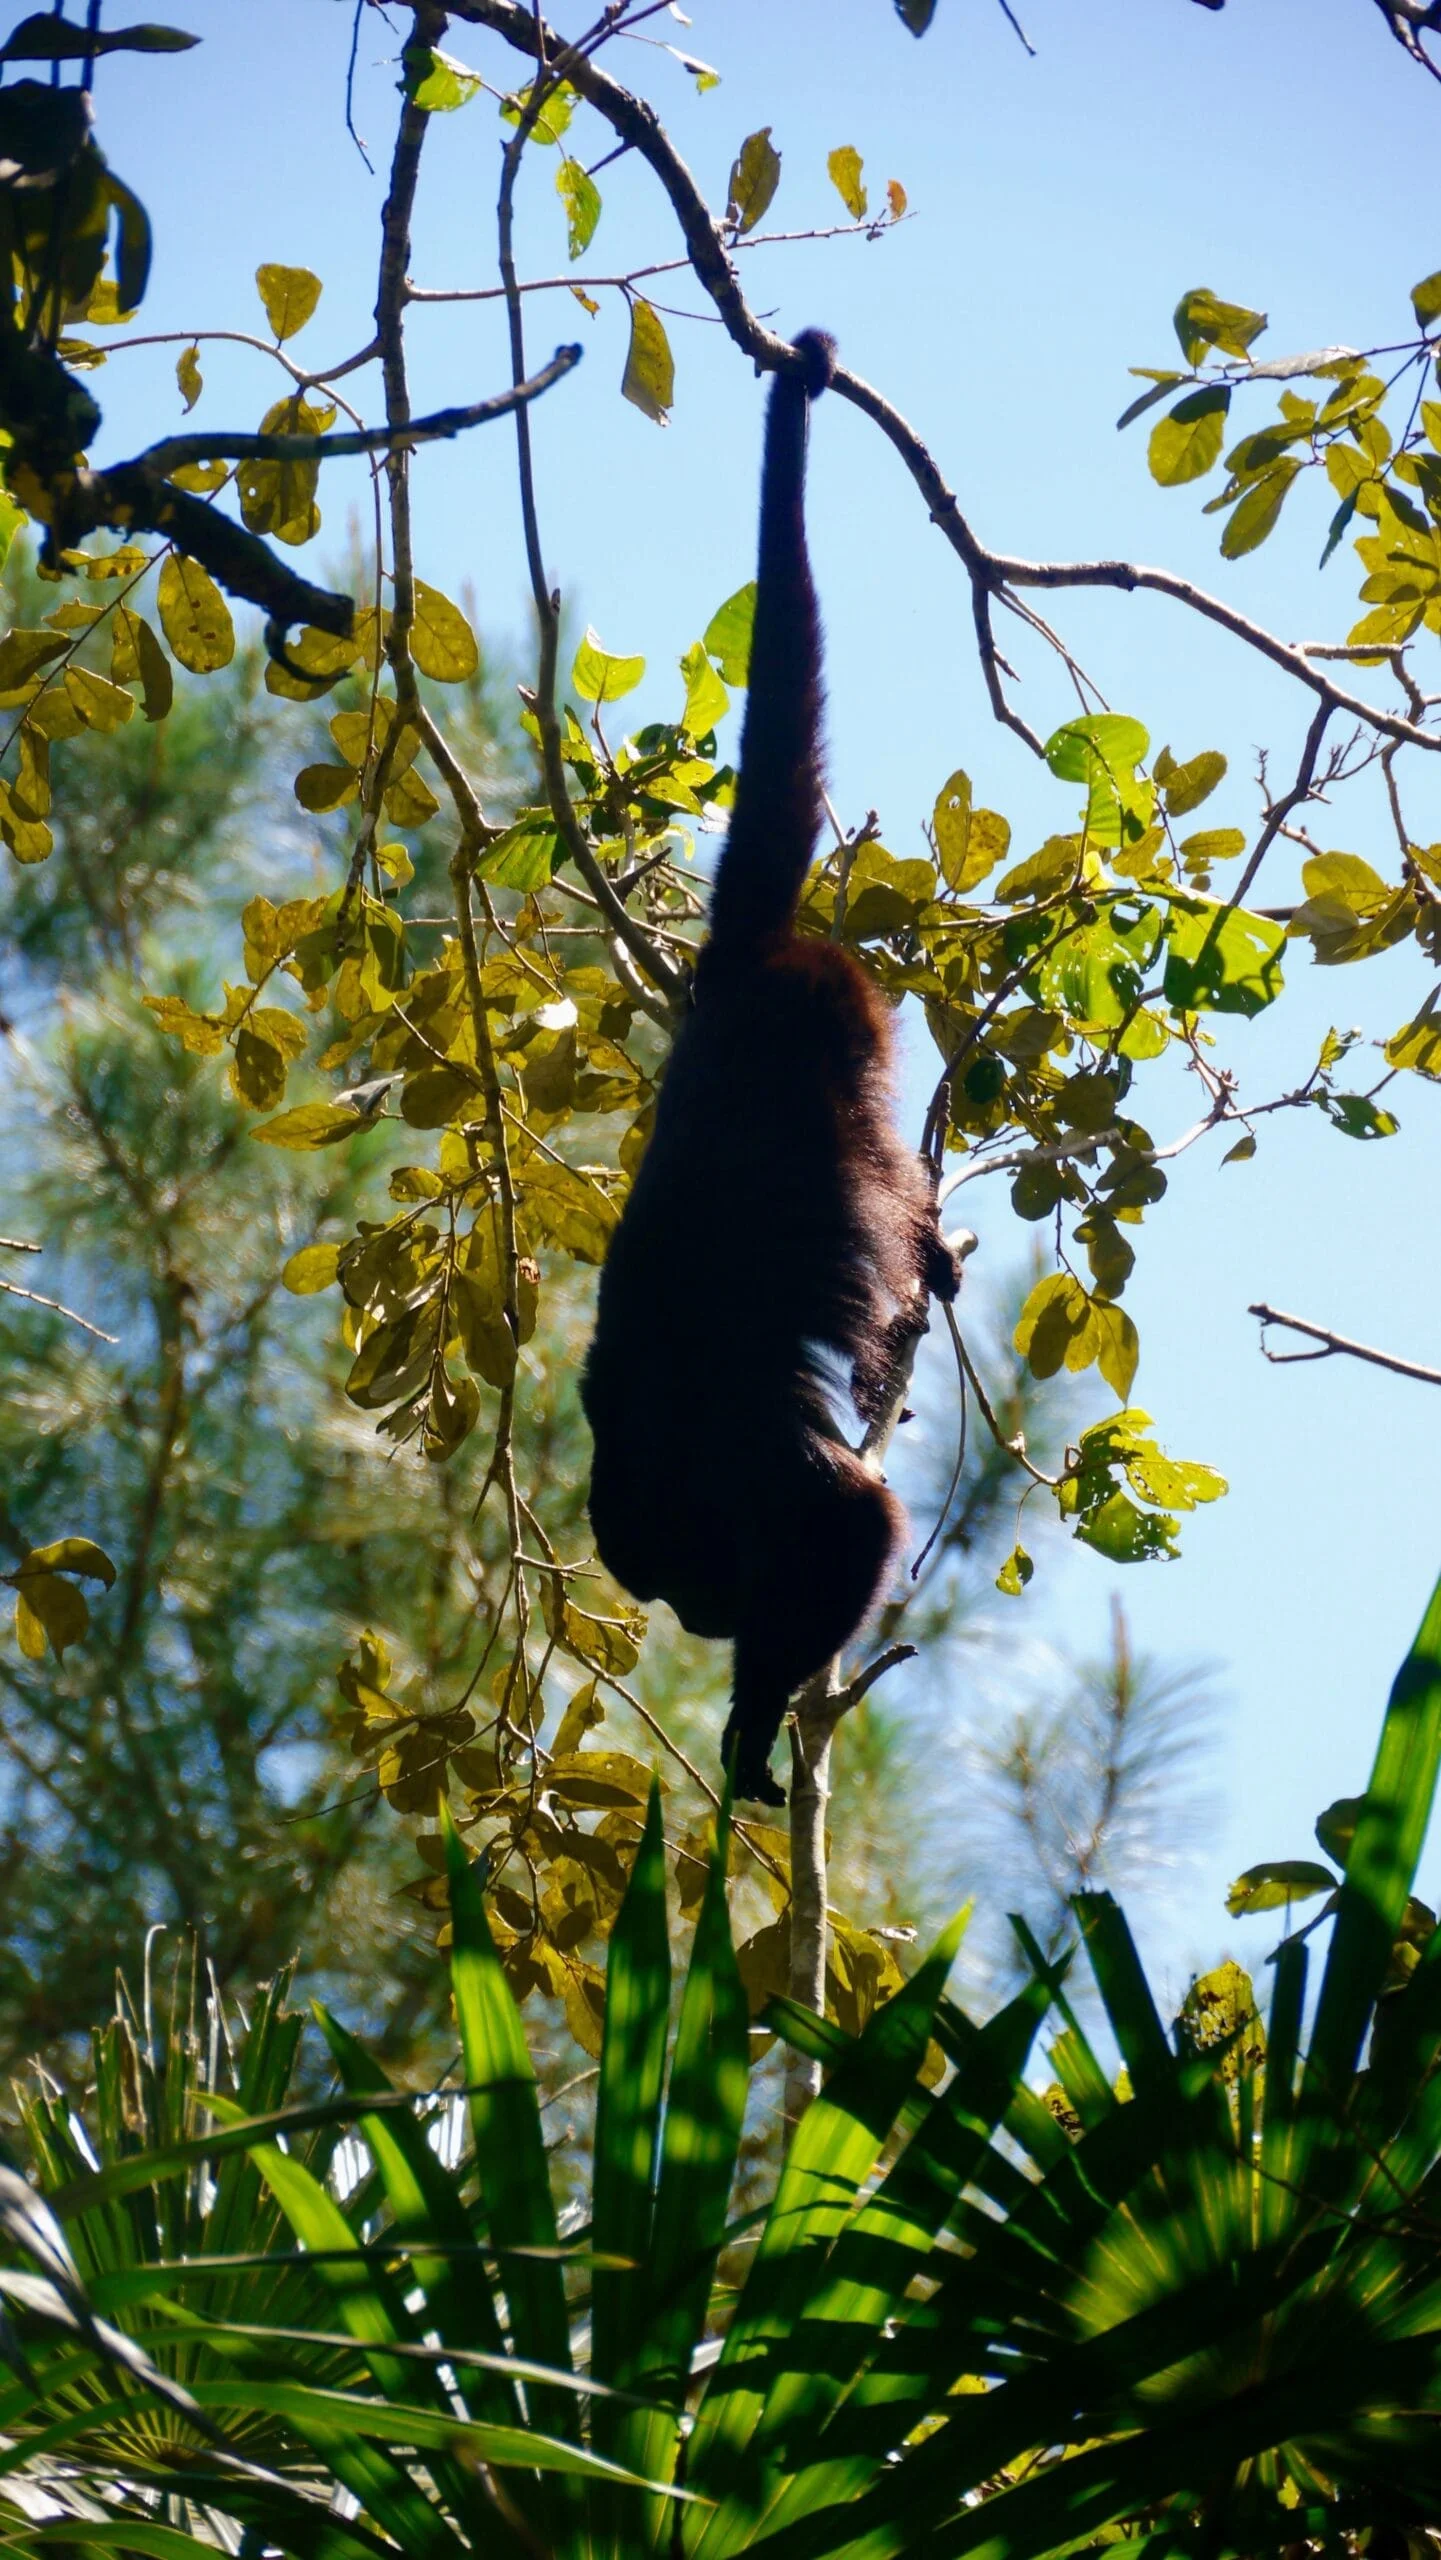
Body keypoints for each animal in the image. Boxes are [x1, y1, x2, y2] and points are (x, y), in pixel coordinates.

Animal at [580, 328, 959, 1807]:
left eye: (688, 1577)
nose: (699, 1619)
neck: (646, 1432)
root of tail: (740, 966)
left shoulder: (736, 1437)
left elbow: (851, 1518)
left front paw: (749, 1715)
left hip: (835, 1015)